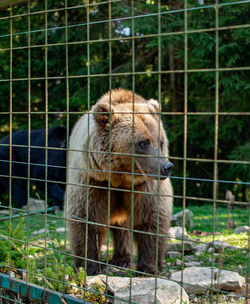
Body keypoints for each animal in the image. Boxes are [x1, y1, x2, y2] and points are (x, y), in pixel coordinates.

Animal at [65, 88, 173, 276]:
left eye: (160, 141)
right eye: (143, 142)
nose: (166, 167)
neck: (120, 177)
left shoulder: (144, 185)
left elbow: (151, 220)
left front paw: (148, 267)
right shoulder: (93, 181)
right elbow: (86, 218)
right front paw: (89, 266)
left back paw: (122, 259)